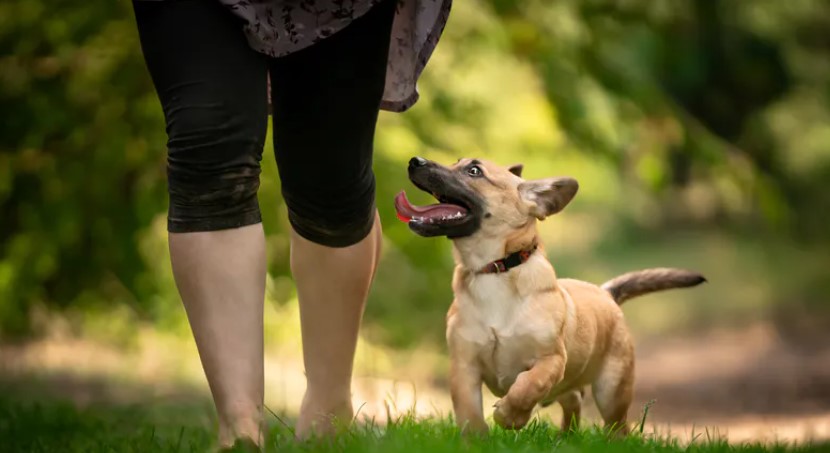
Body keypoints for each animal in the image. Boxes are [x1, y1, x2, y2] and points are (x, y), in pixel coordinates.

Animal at [394, 156, 704, 434]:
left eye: (474, 171)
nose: (414, 161)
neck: (495, 270)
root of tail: (606, 294)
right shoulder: (464, 366)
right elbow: (470, 414)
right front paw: (478, 439)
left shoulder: (551, 360)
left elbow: (528, 385)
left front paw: (510, 416)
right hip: (572, 387)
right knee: (574, 400)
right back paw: (566, 436)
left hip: (611, 390)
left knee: (617, 425)